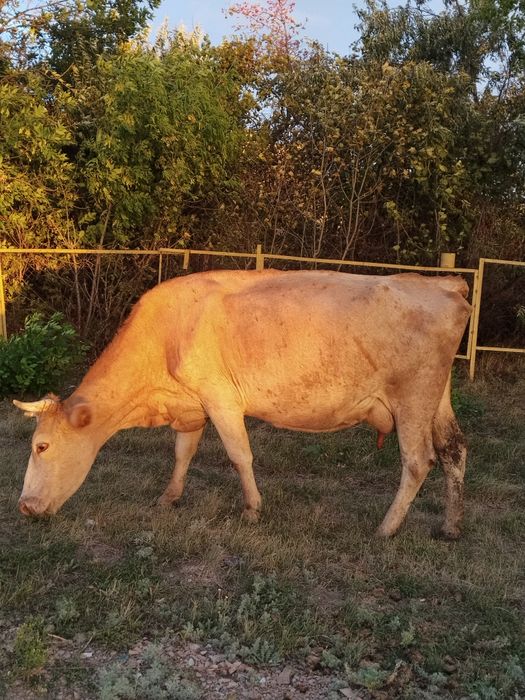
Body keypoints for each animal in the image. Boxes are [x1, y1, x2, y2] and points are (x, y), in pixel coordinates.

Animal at [13, 269, 471, 539]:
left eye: (42, 446)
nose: (23, 507)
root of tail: (443, 283)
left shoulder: (220, 398)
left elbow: (239, 455)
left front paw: (252, 509)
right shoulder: (192, 406)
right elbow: (182, 453)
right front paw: (169, 497)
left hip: (412, 399)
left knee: (418, 460)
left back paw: (386, 528)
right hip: (436, 399)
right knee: (455, 450)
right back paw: (450, 527)